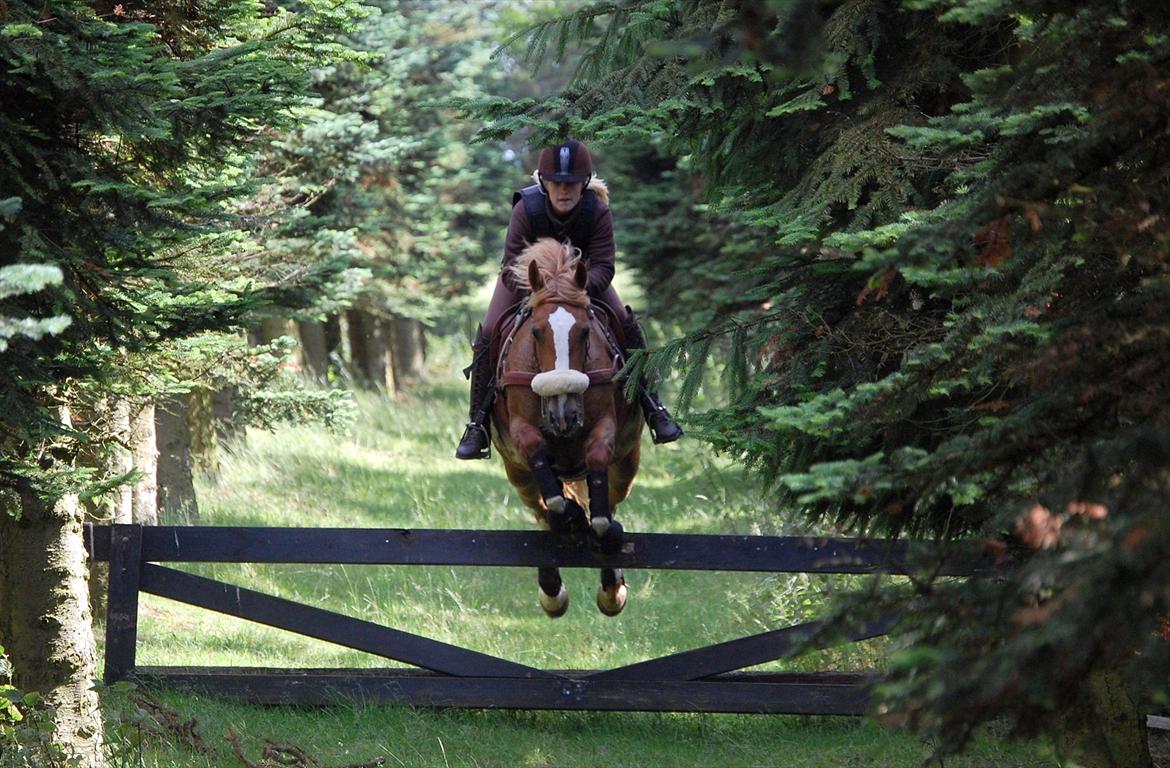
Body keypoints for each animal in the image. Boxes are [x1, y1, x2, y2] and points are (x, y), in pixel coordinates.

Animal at [489, 238, 645, 618]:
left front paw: (600, 533)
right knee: (542, 513)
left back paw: (611, 586)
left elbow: (599, 464)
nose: (564, 415)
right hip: (519, 476)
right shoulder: (521, 432)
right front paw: (569, 516)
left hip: (627, 464)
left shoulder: (605, 427)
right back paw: (552, 588)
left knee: (610, 500)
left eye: (585, 331)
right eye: (536, 332)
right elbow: (536, 454)